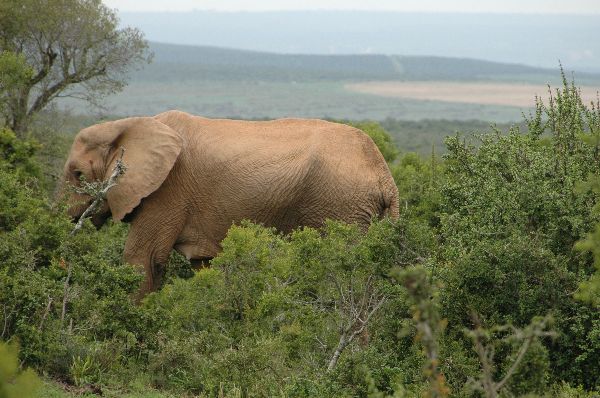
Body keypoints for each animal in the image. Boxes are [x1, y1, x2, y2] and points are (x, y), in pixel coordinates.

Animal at [62, 110, 398, 296]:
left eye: (78, 175)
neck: (128, 126)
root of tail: (385, 176)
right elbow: (204, 266)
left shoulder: (167, 192)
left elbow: (143, 259)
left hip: (341, 206)